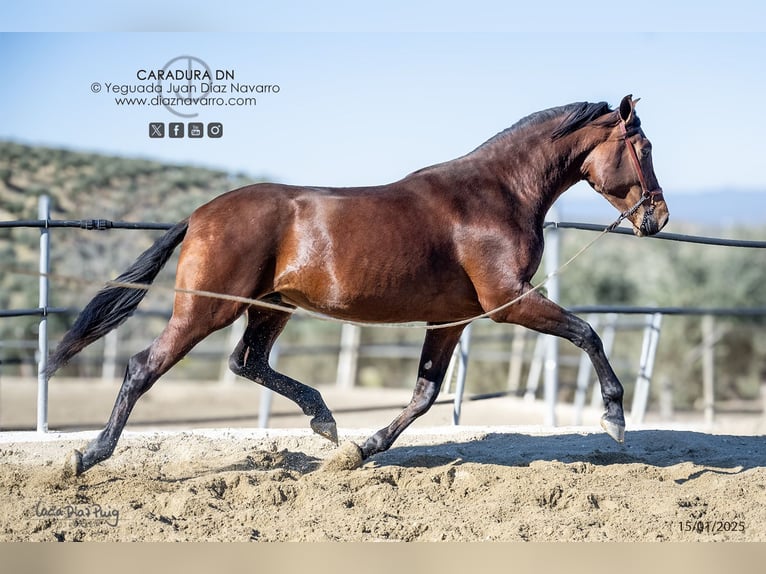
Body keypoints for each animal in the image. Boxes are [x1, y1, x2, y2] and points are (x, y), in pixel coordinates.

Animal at [48, 95, 668, 476]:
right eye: (644, 148)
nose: (657, 218)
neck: (495, 194)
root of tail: (200, 214)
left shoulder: (452, 318)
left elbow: (424, 393)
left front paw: (360, 450)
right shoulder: (507, 303)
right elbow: (587, 334)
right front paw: (615, 418)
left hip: (270, 306)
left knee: (246, 362)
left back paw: (324, 420)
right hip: (204, 310)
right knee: (144, 367)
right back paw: (87, 456)